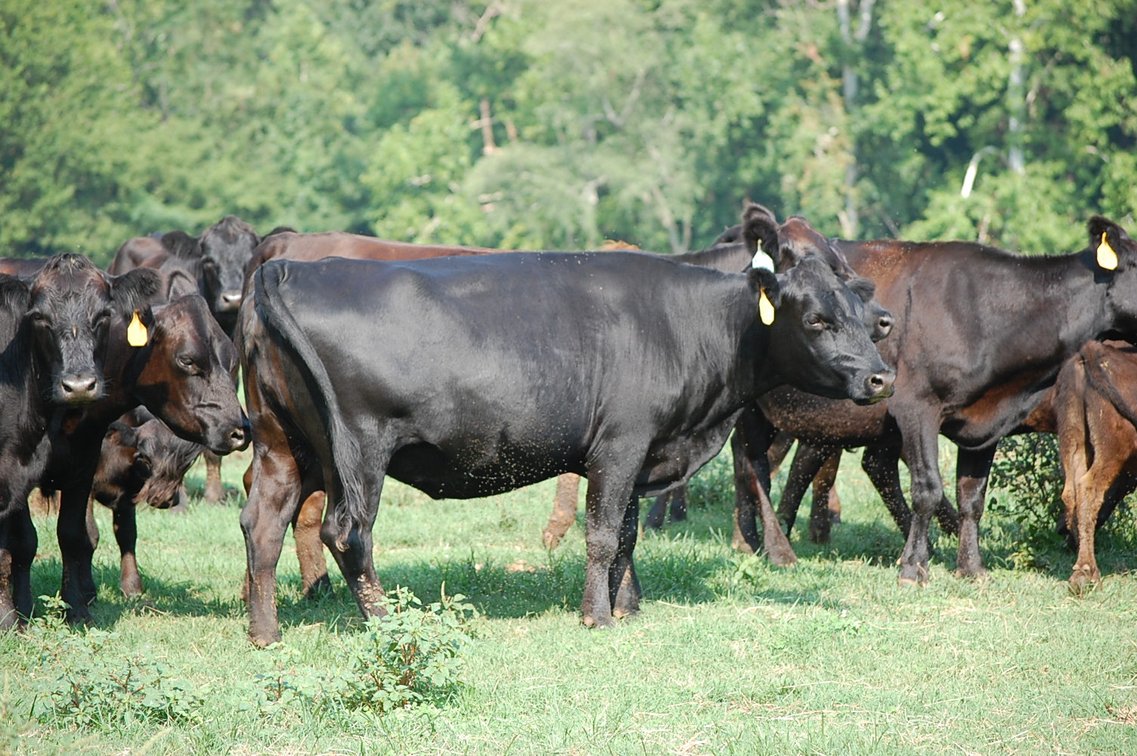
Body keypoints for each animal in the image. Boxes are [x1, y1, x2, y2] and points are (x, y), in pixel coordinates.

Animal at [237, 249, 895, 646]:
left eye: (864, 317)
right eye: (815, 320)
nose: (880, 378)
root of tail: (291, 268)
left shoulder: (642, 452)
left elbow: (627, 532)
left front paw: (629, 605)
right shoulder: (620, 445)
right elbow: (602, 534)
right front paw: (597, 615)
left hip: (282, 446)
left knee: (262, 524)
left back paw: (265, 632)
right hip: (358, 449)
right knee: (347, 532)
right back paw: (385, 621)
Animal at [727, 216, 1137, 585]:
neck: (985, 313)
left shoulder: (983, 424)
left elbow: (972, 497)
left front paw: (971, 567)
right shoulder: (916, 407)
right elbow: (927, 487)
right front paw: (913, 568)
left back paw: (753, 540)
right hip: (751, 407)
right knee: (754, 465)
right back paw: (775, 546)